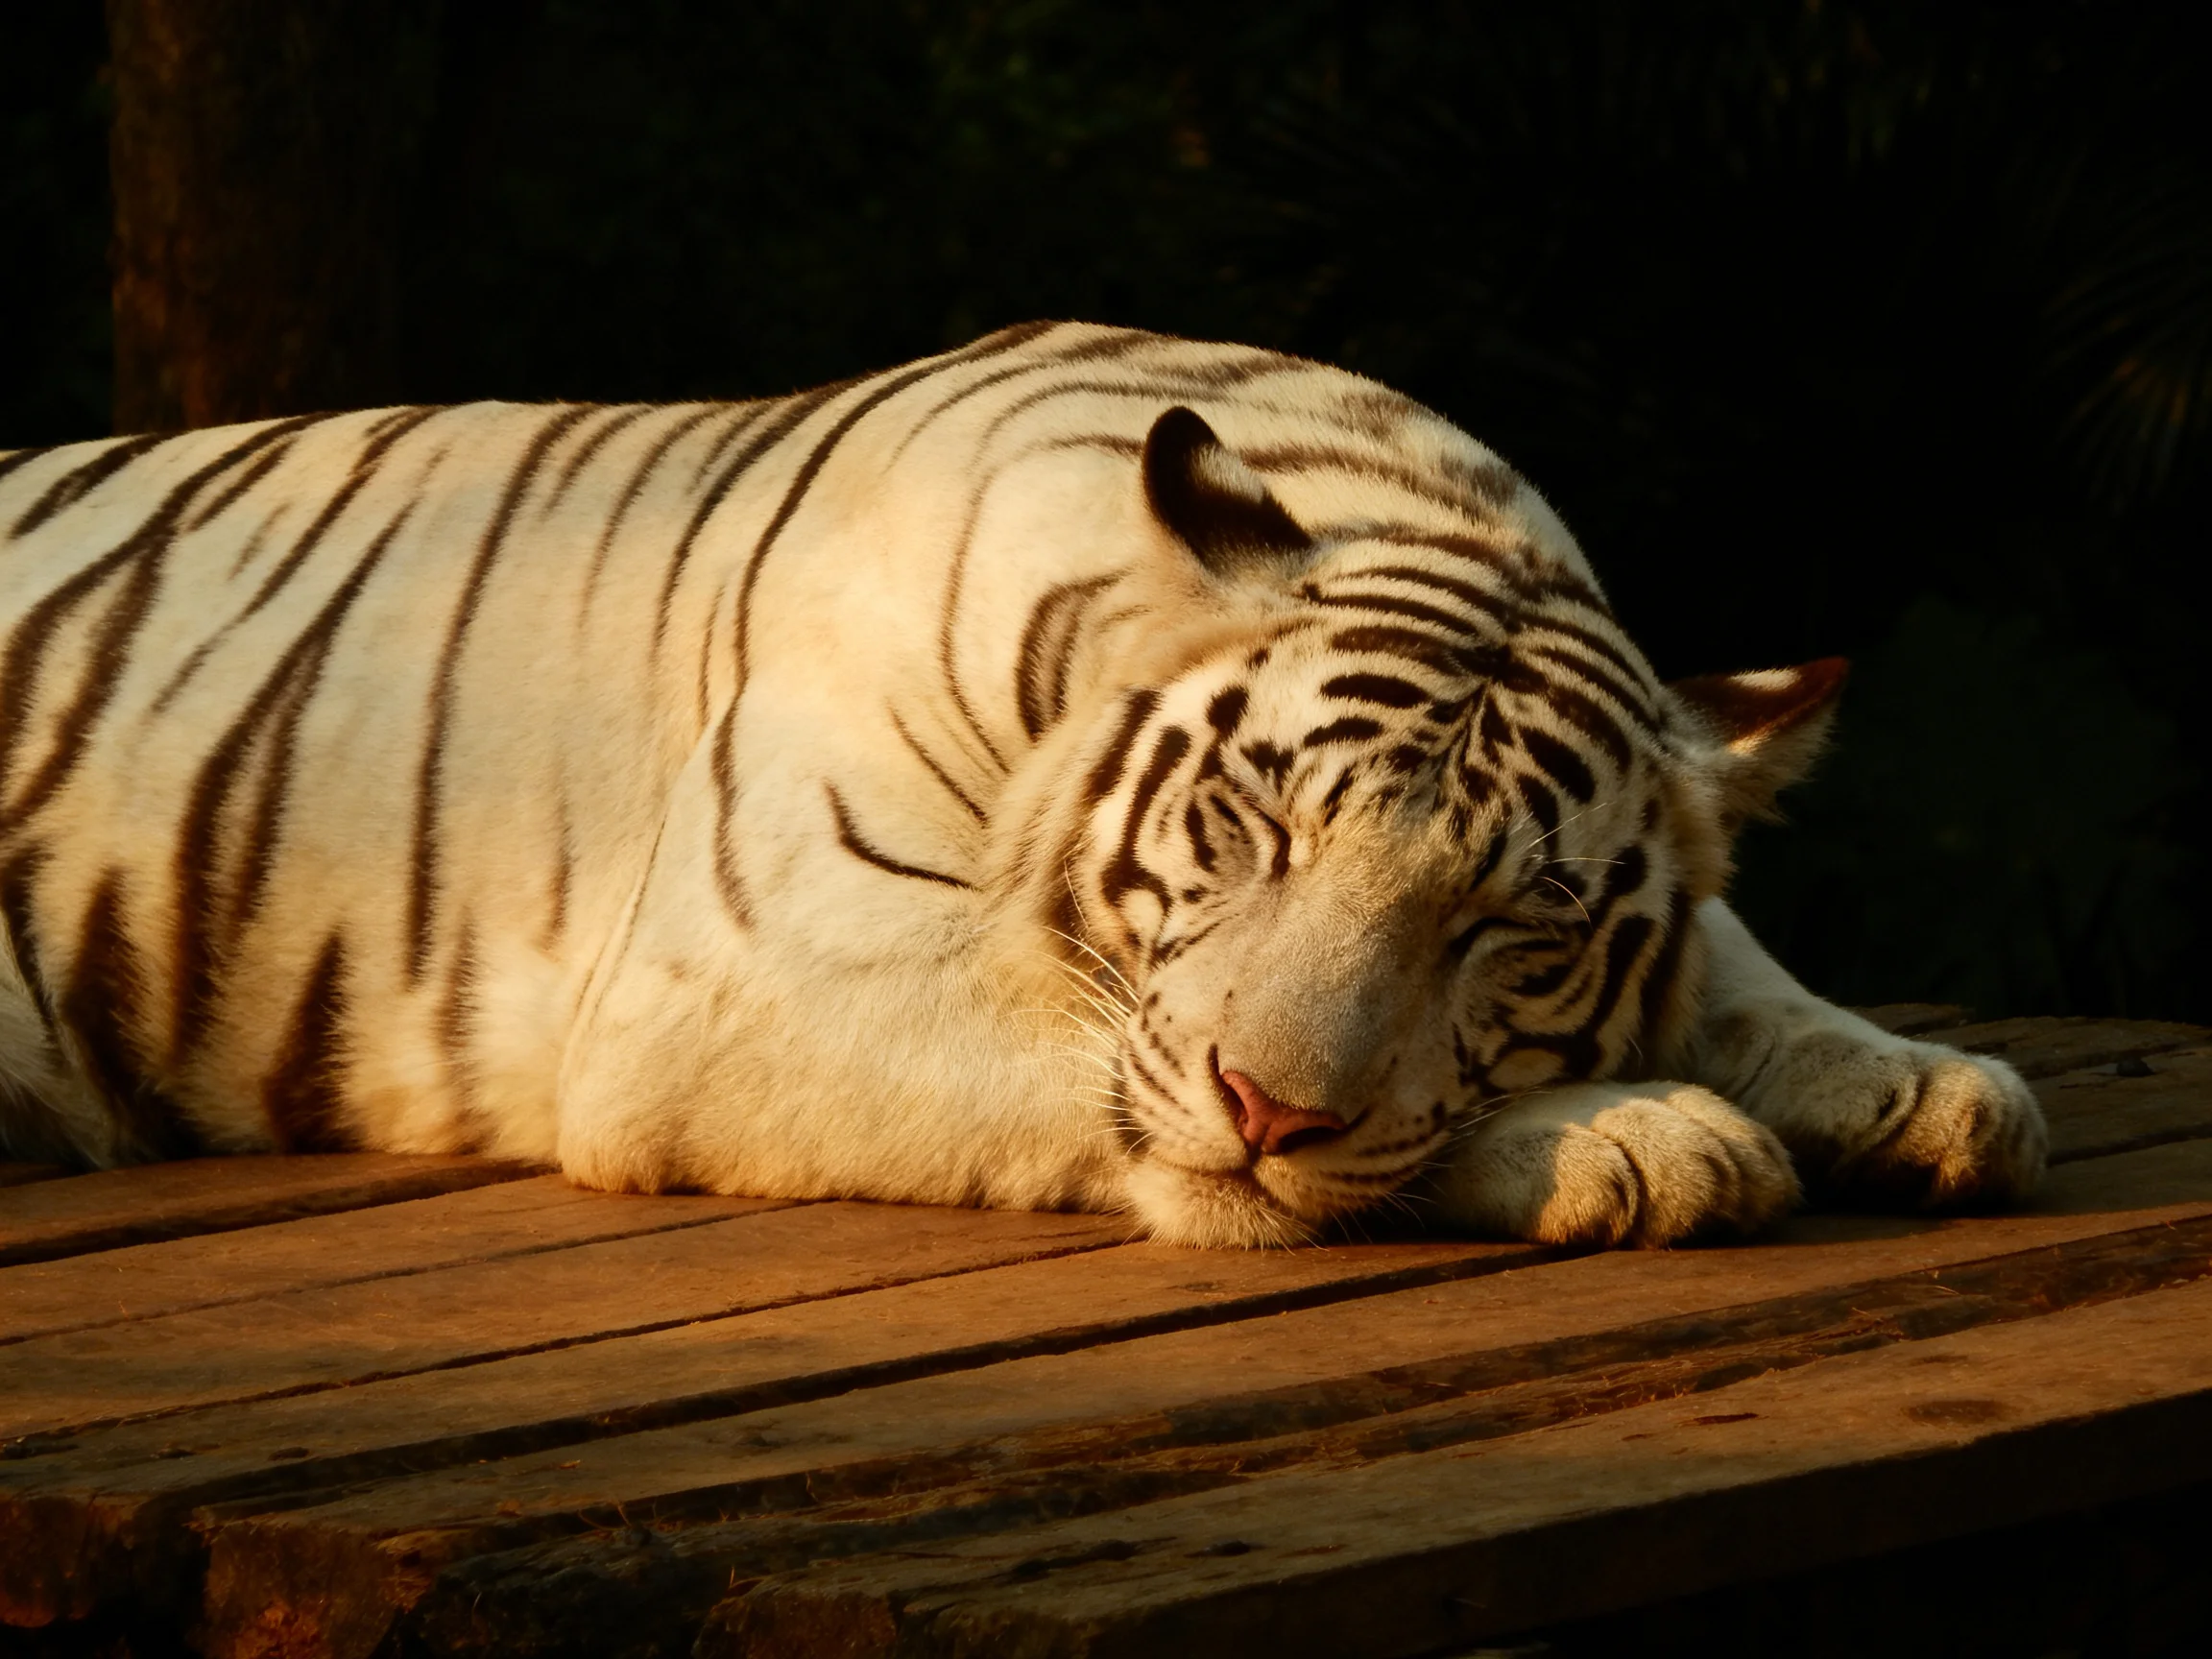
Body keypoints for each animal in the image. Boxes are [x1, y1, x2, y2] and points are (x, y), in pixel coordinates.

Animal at [0, 321, 2046, 1248]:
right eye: (1261, 827)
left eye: (1506, 923)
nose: (1269, 1108)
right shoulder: (730, 981)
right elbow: (1092, 1058)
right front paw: (1636, 1133)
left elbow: (1742, 965)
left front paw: (1920, 1081)